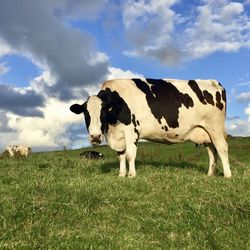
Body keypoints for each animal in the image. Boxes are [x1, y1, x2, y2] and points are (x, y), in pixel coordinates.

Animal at [69, 78, 231, 178]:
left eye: (103, 113)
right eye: (86, 114)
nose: (95, 137)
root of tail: (215, 82)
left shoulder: (131, 130)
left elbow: (129, 155)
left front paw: (131, 175)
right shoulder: (118, 136)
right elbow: (120, 155)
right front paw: (121, 174)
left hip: (215, 127)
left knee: (222, 148)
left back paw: (227, 175)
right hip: (205, 131)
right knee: (212, 151)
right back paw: (210, 174)